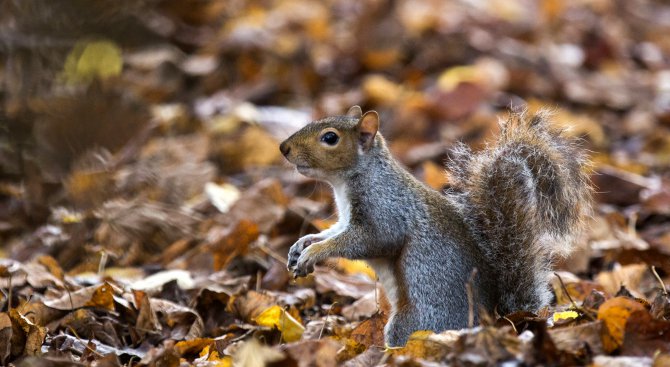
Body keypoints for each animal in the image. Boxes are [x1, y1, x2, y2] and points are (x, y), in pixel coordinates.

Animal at [278, 106, 592, 348]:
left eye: (330, 138)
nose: (284, 148)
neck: (350, 180)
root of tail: (498, 320)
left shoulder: (386, 211)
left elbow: (370, 240)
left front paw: (315, 253)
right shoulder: (345, 220)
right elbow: (332, 233)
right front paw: (304, 244)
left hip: (414, 322)